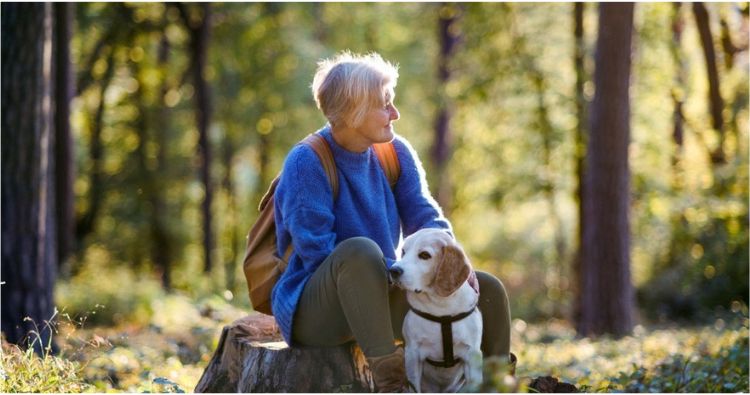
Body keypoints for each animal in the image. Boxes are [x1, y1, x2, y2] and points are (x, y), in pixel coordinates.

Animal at [390, 227, 484, 394]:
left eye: (424, 255)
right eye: (403, 251)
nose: (393, 270)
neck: (441, 308)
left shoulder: (473, 355)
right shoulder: (412, 354)